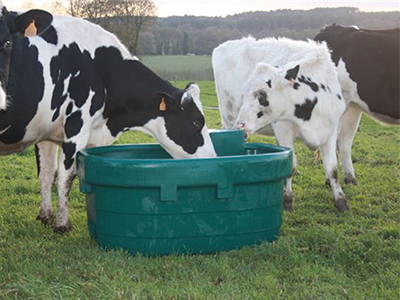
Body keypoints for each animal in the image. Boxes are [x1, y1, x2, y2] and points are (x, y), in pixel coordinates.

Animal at [0, 5, 216, 233]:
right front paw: (62, 224)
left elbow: (47, 174)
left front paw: (45, 216)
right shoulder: (77, 125)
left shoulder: (45, 129)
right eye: (196, 122)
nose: (212, 158)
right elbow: (65, 177)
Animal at [214, 37, 348, 211]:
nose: (241, 125)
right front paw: (287, 200)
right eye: (244, 93)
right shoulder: (284, 131)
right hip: (228, 118)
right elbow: (291, 167)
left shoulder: (331, 131)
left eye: (262, 94)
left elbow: (333, 170)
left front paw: (341, 200)